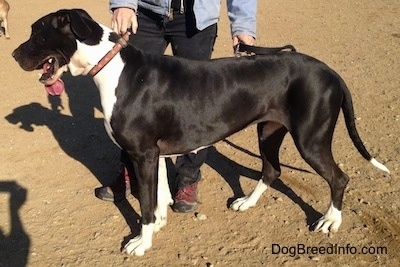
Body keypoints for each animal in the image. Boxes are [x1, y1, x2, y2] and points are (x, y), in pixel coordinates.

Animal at [13, 7, 390, 255]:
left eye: (37, 32)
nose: (14, 54)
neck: (110, 66)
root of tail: (329, 70)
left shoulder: (142, 154)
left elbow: (146, 204)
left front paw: (141, 242)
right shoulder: (154, 154)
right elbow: (159, 196)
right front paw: (160, 224)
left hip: (310, 138)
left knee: (338, 177)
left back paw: (330, 221)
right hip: (269, 131)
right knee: (272, 169)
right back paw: (247, 203)